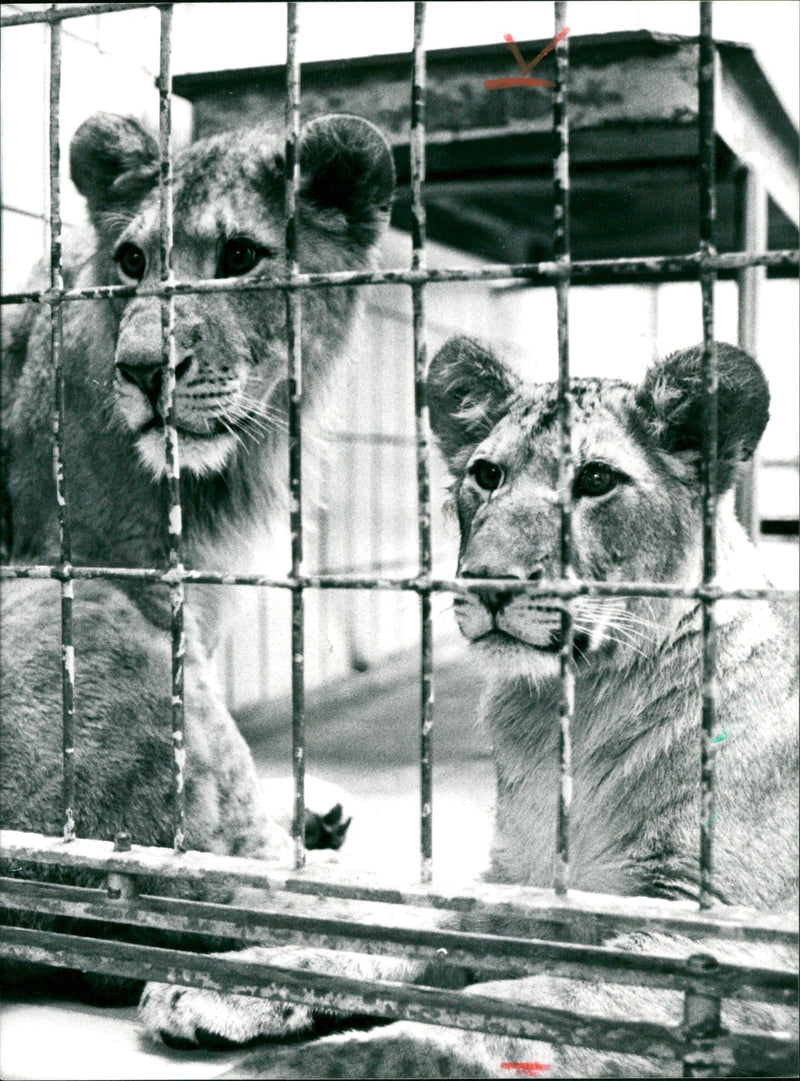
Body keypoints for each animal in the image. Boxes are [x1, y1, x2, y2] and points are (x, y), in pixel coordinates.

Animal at [0, 109, 393, 1011]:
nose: (144, 370)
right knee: (216, 886)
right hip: (75, 608)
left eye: (241, 256)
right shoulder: (124, 575)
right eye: (133, 263)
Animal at [128, 335, 795, 1072]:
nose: (489, 580)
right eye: (486, 475)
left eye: (596, 480)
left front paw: (309, 1064)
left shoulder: (730, 950)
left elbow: (520, 1012)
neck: (575, 709)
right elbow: (397, 933)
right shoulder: (525, 886)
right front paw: (223, 984)